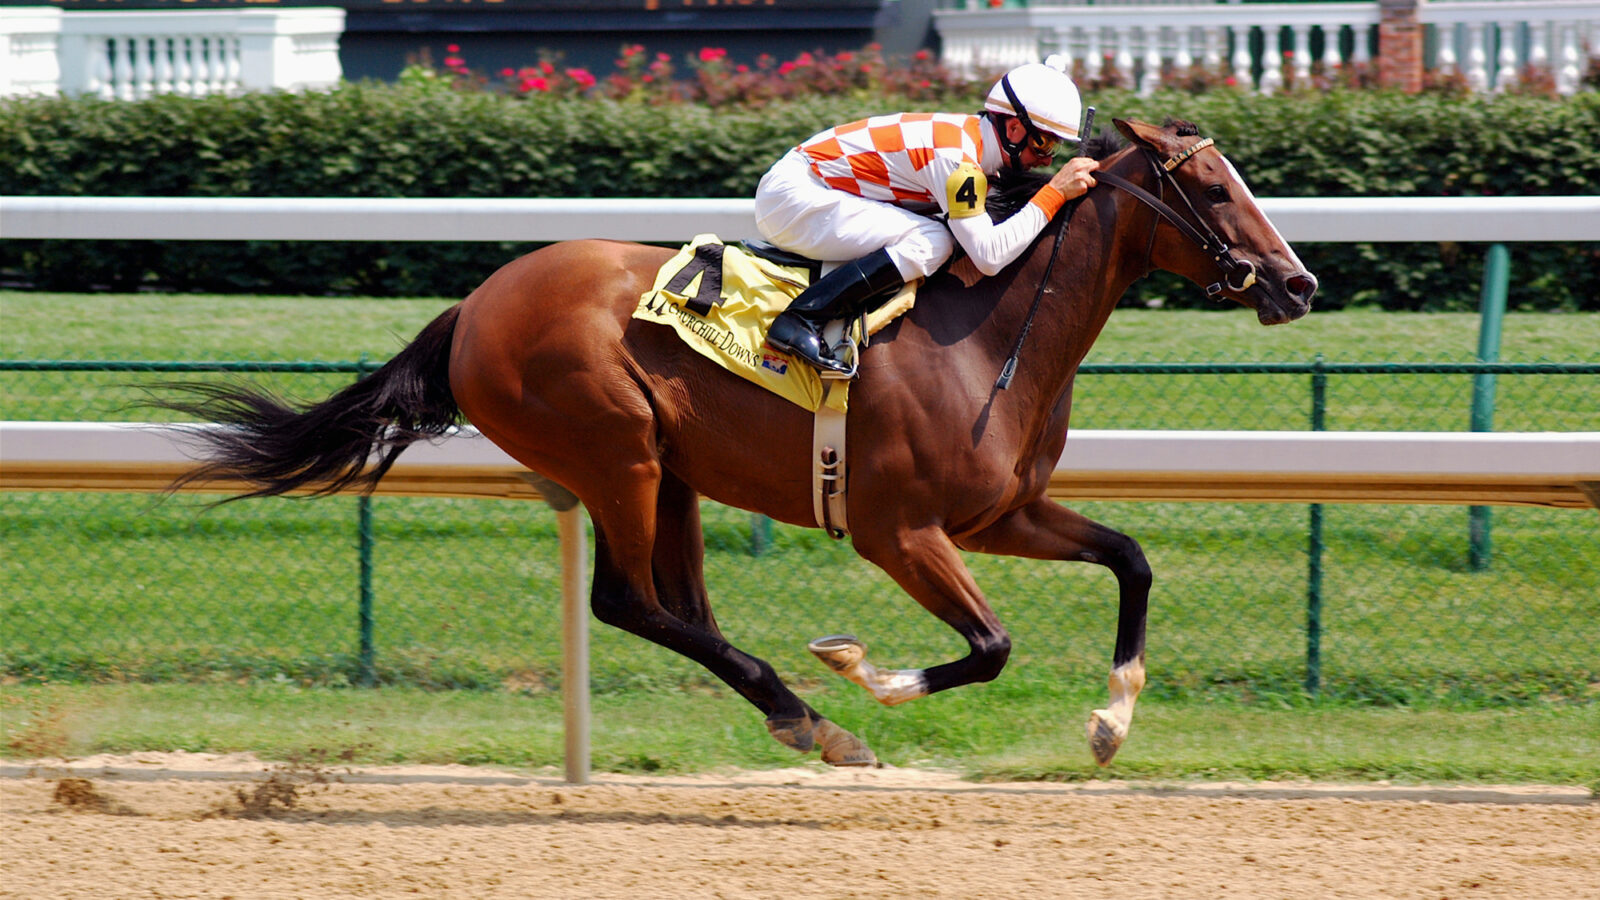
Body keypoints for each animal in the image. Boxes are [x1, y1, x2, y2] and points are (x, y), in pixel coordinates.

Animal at [164, 118, 1316, 768]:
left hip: (669, 471)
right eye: (1213, 188)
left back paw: (798, 717)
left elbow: (1131, 559)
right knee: (629, 603)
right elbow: (990, 646)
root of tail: (477, 304)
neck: (988, 332)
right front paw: (864, 673)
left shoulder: (1000, 514)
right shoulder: (900, 531)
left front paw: (1111, 722)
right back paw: (817, 719)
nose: (1299, 282)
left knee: (680, 609)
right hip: (614, 450)